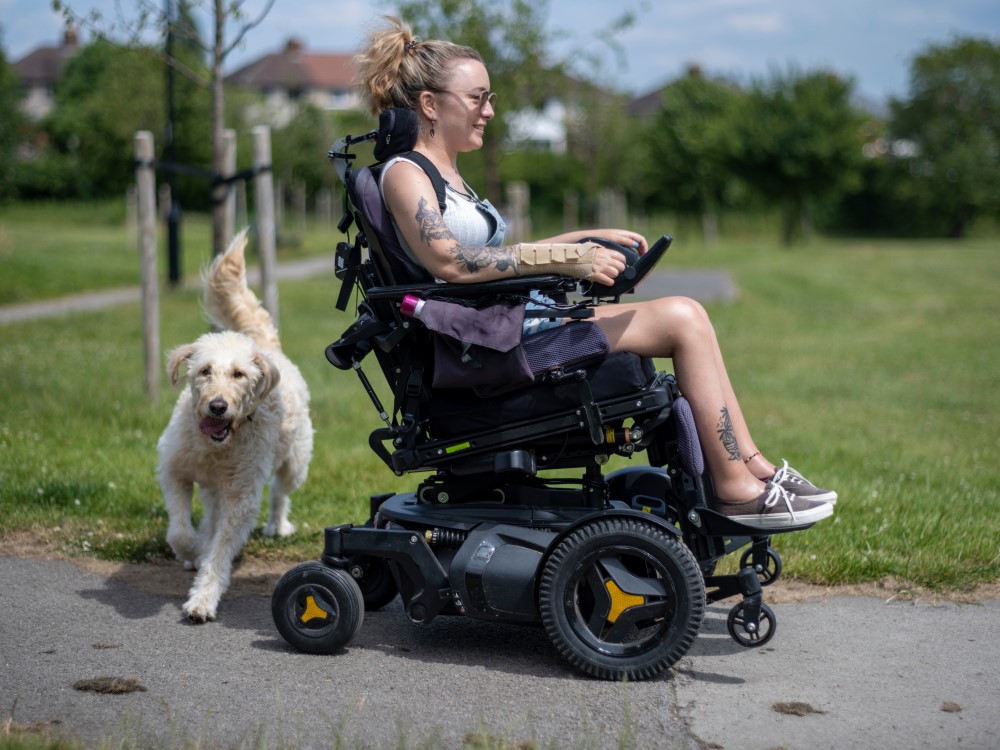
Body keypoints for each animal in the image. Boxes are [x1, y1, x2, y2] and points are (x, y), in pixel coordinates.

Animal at [157, 234, 312, 624]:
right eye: (204, 371)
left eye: (239, 374)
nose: (218, 405)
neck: (215, 447)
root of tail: (266, 348)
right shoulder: (173, 471)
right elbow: (180, 531)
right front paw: (192, 550)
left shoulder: (241, 499)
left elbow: (219, 553)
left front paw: (202, 598)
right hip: (213, 487)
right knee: (209, 515)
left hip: (295, 462)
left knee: (280, 494)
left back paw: (277, 525)